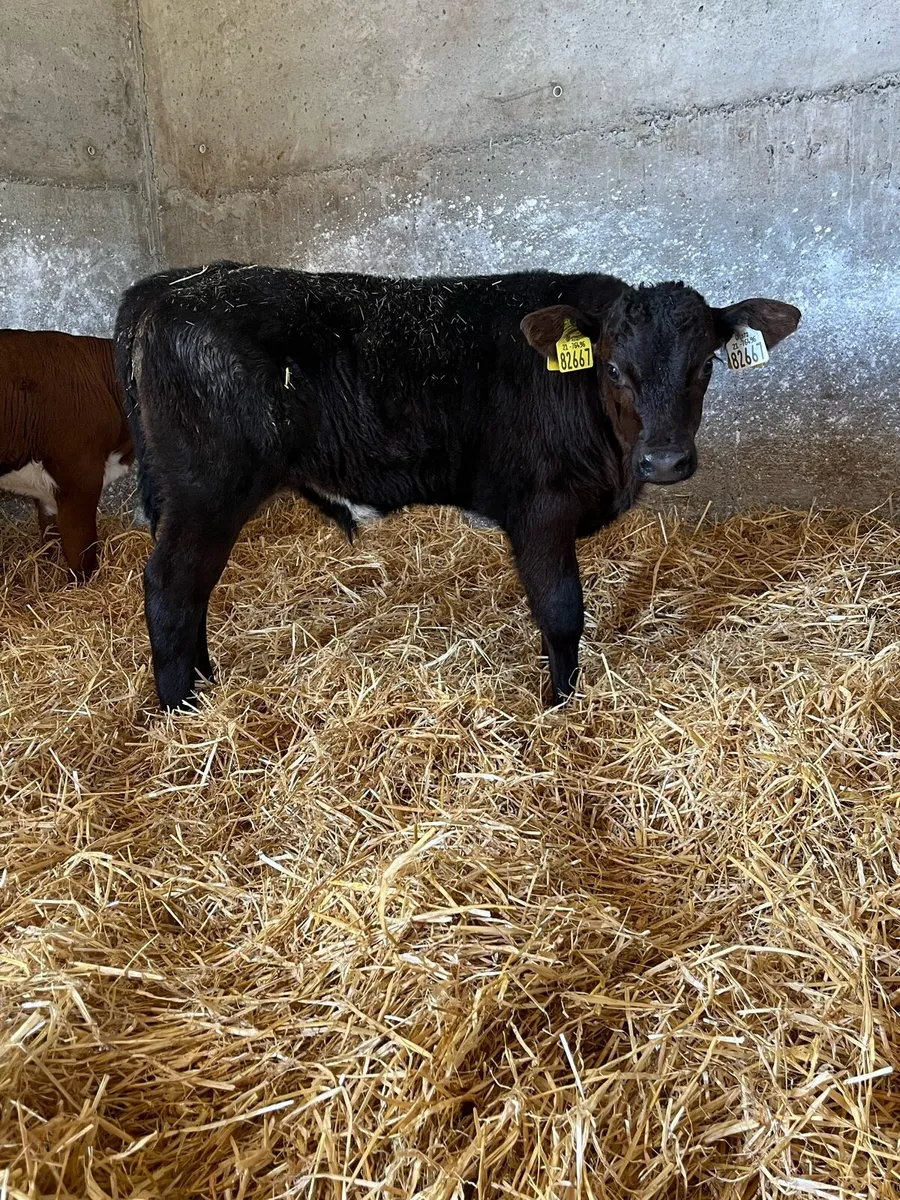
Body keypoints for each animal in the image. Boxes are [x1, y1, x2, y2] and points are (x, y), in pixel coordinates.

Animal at [114, 262, 800, 711]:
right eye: (611, 368)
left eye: (705, 364)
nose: (664, 460)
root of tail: (170, 285)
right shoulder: (539, 509)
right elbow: (561, 610)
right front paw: (560, 705)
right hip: (207, 490)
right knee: (171, 588)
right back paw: (182, 711)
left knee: (195, 590)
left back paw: (206, 683)